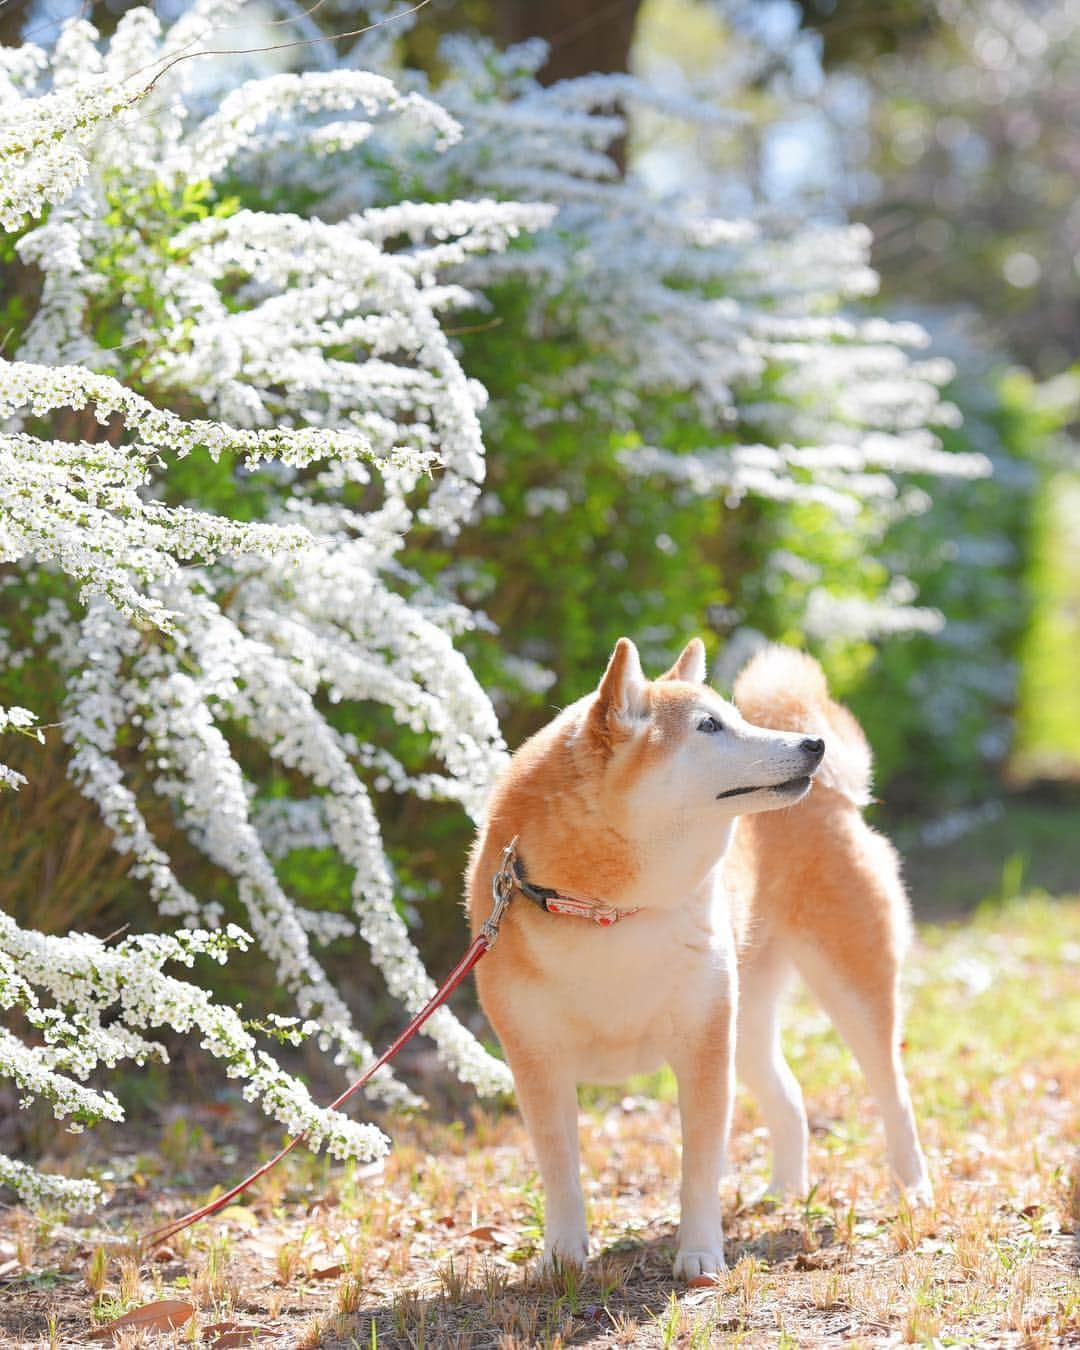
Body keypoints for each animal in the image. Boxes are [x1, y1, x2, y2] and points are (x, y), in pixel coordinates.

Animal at [467, 637, 934, 1279]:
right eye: (709, 726)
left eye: (733, 717)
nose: (811, 744)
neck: (609, 912)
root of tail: (836, 796)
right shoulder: (537, 1060)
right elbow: (560, 1171)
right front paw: (561, 1257)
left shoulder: (702, 1047)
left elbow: (699, 1168)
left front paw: (699, 1253)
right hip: (746, 1017)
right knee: (790, 1101)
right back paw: (784, 1192)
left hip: (846, 990)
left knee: (895, 1094)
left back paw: (912, 1189)